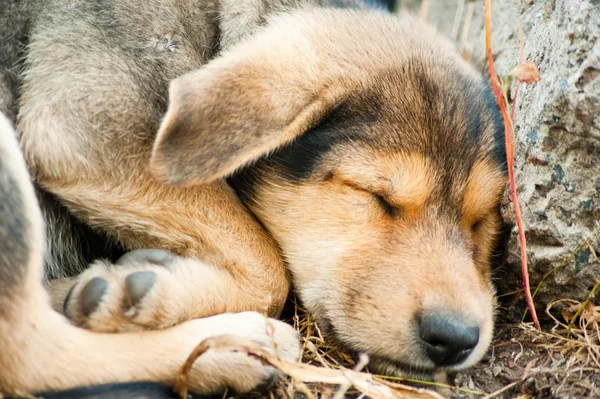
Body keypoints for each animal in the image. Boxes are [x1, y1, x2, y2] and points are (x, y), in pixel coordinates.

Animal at [0, 0, 506, 396]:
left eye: (481, 220)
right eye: (375, 195)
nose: (455, 338)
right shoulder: (88, 127)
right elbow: (268, 267)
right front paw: (146, 293)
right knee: (31, 357)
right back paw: (238, 349)